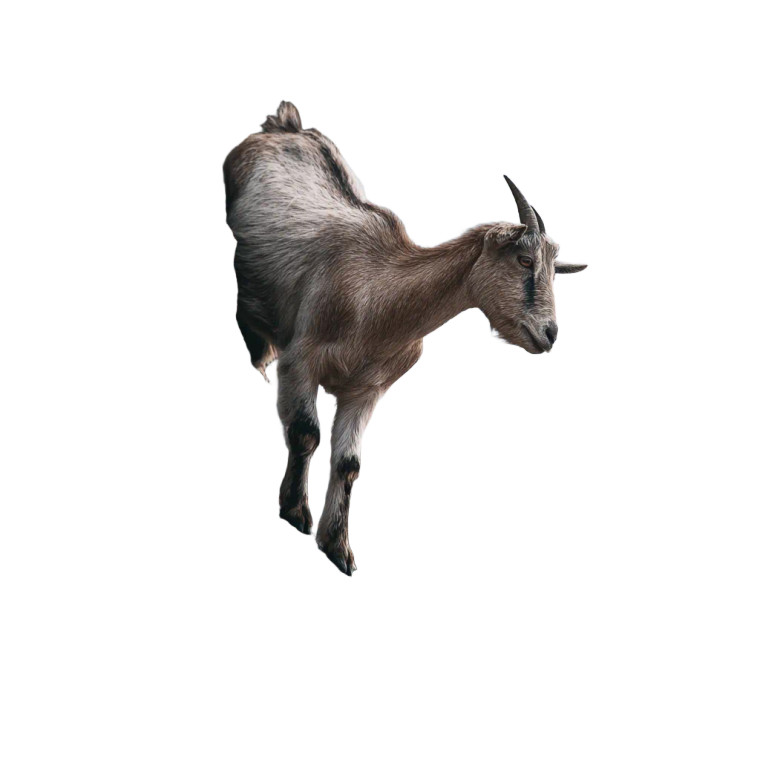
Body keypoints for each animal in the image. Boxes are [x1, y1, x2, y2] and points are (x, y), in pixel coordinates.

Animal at [224, 101, 586, 575]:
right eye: (525, 260)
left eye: (554, 270)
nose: (550, 333)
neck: (376, 297)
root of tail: (285, 125)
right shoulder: (300, 362)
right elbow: (305, 434)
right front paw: (296, 513)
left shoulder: (367, 390)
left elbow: (349, 463)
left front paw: (338, 547)